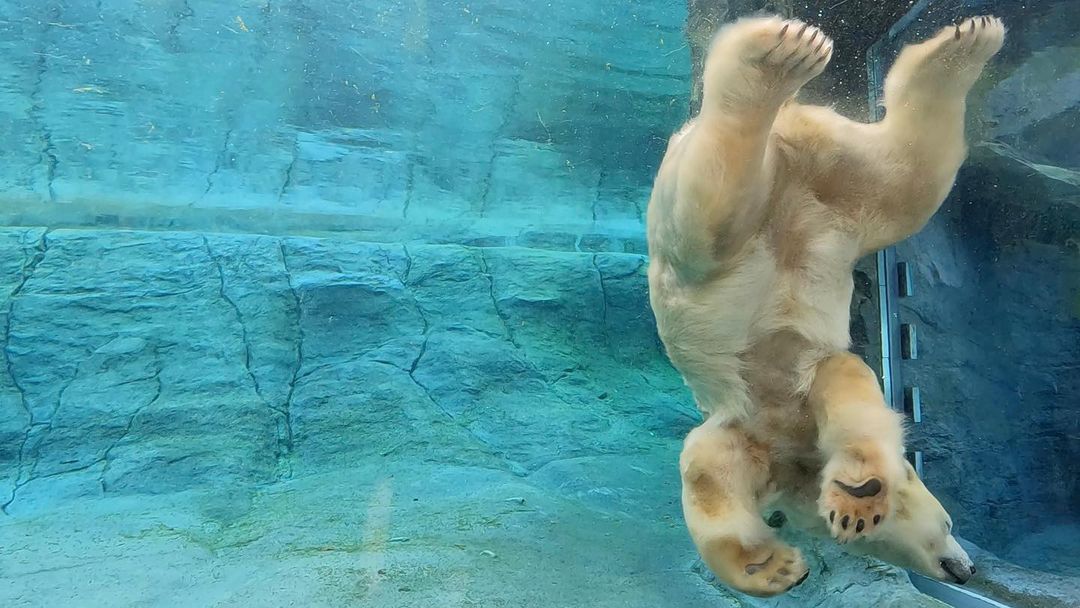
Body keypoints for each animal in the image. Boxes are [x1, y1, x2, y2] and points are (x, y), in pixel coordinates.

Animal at [643, 14, 1006, 600]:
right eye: (950, 523)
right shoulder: (750, 430)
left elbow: (845, 390)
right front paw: (776, 567)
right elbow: (707, 470)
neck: (793, 447)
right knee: (711, 218)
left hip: (844, 193)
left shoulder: (804, 381)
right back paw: (774, 63)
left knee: (908, 177)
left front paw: (857, 496)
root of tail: (794, 138)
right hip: (699, 237)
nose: (968, 567)